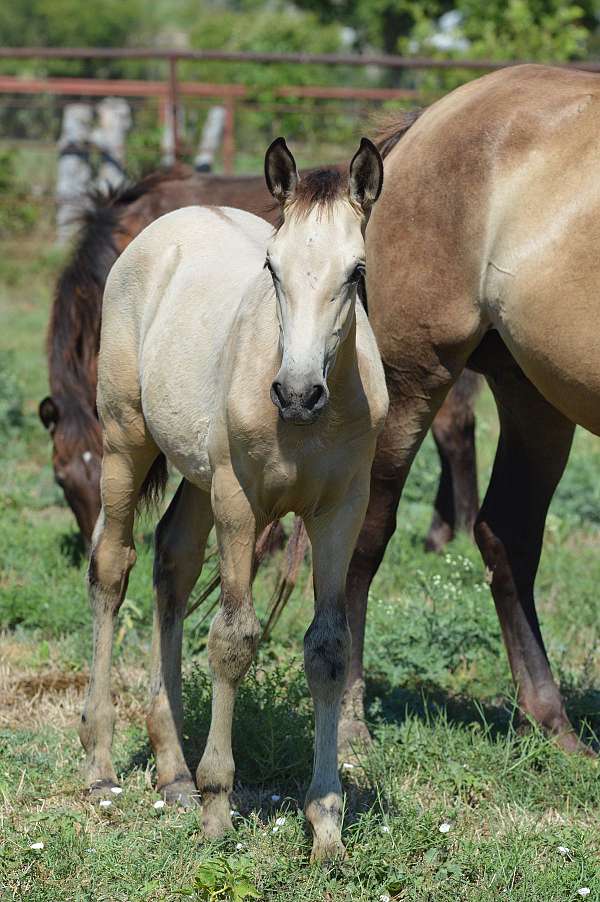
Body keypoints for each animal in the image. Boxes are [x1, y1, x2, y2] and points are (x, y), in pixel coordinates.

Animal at [79, 138, 386, 860]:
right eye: (272, 268)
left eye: (356, 272)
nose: (297, 393)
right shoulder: (240, 504)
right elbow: (234, 639)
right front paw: (218, 806)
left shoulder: (341, 511)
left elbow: (329, 648)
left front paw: (326, 826)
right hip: (126, 444)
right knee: (112, 568)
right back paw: (102, 765)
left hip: (194, 475)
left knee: (172, 564)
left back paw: (172, 773)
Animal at [344, 65, 596, 756]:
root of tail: (431, 119)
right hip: (410, 382)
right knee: (362, 540)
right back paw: (347, 725)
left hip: (533, 396)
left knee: (507, 533)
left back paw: (553, 726)